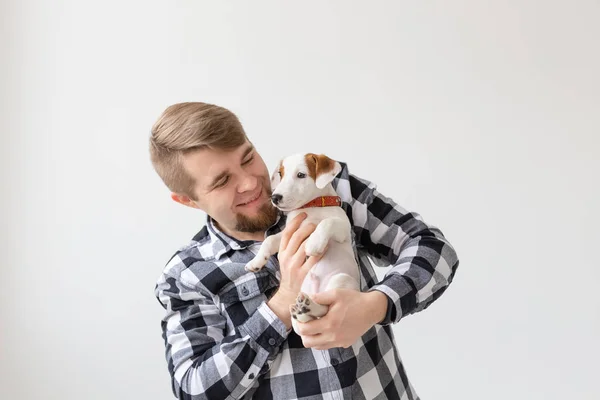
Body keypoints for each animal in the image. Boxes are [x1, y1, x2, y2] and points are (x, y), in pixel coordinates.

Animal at [245, 152, 360, 332]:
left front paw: (314, 244)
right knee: (309, 319)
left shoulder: (342, 229)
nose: (275, 197)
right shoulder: (287, 234)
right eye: (281, 174)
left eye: (301, 175)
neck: (311, 207)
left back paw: (309, 307)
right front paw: (255, 262)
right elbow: (269, 240)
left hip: (341, 280)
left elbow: (326, 222)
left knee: (326, 309)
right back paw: (302, 311)